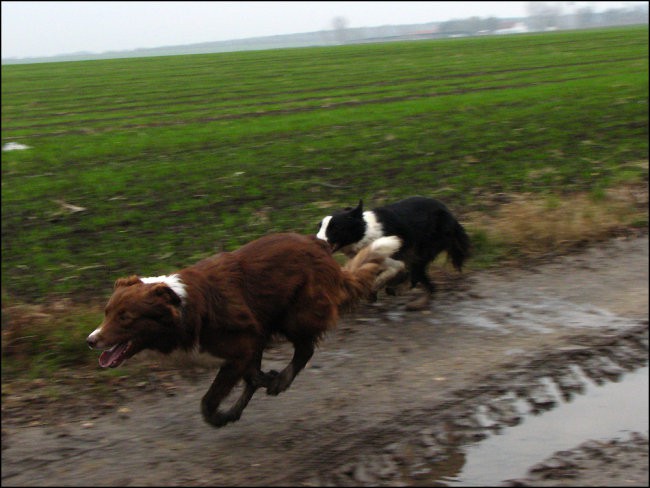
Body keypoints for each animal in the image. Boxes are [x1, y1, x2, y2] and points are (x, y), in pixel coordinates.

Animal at [86, 233, 400, 428]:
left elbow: (209, 401)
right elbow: (249, 378)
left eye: (126, 317)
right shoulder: (250, 343)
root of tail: (320, 245)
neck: (182, 309)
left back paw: (281, 380)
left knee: (305, 349)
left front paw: (222, 416)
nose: (91, 340)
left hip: (294, 315)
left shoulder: (243, 346)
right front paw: (250, 392)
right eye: (107, 312)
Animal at [314, 196, 466, 310]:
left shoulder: (391, 255)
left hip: (423, 250)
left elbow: (392, 270)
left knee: (419, 277)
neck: (365, 233)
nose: (316, 241)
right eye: (320, 226)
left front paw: (378, 286)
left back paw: (413, 299)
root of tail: (448, 212)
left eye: (335, 228)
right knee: (421, 279)